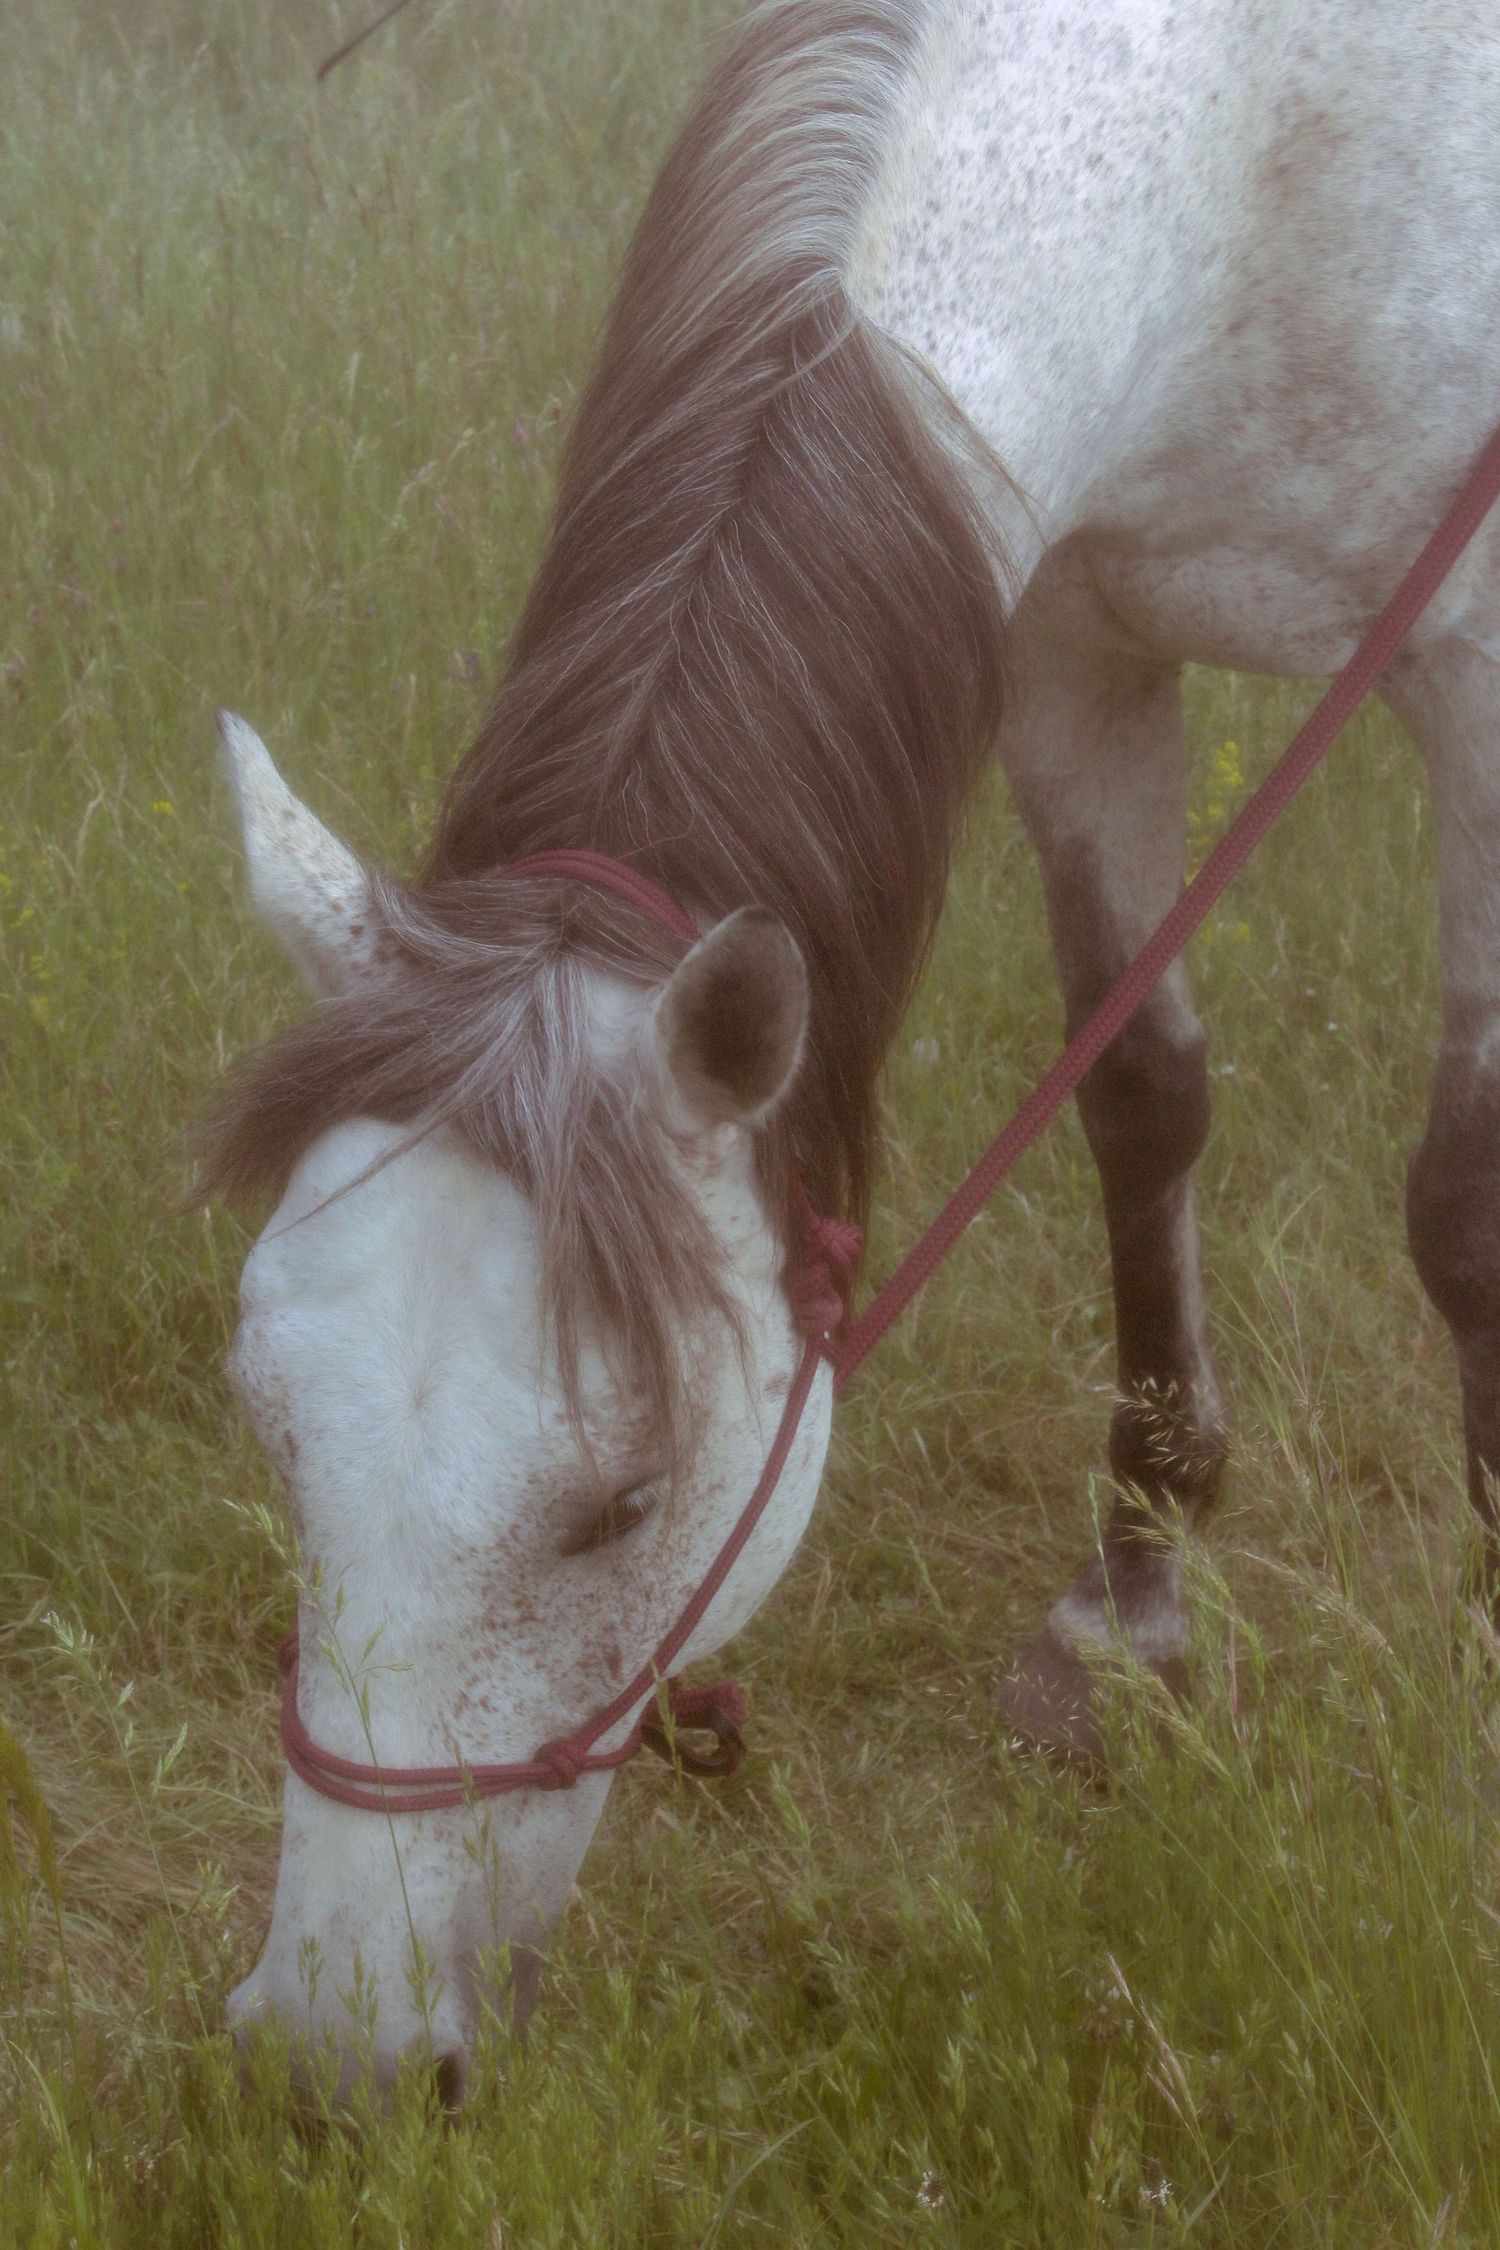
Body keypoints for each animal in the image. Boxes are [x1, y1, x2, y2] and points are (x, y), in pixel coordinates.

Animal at [205, 0, 1500, 2102]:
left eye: (621, 1503)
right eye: (273, 1425)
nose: (335, 2056)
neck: (1273, 121)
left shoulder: (1477, 665)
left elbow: (1462, 1199)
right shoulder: (1068, 635)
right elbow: (1144, 1097)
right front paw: (1131, 1608)